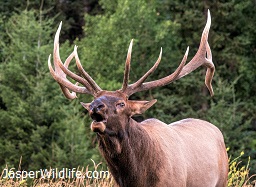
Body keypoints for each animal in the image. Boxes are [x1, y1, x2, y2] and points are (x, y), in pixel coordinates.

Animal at [48, 10, 228, 187]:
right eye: (92, 101)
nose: (95, 107)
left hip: (222, 179)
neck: (137, 178)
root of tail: (217, 130)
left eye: (121, 103)